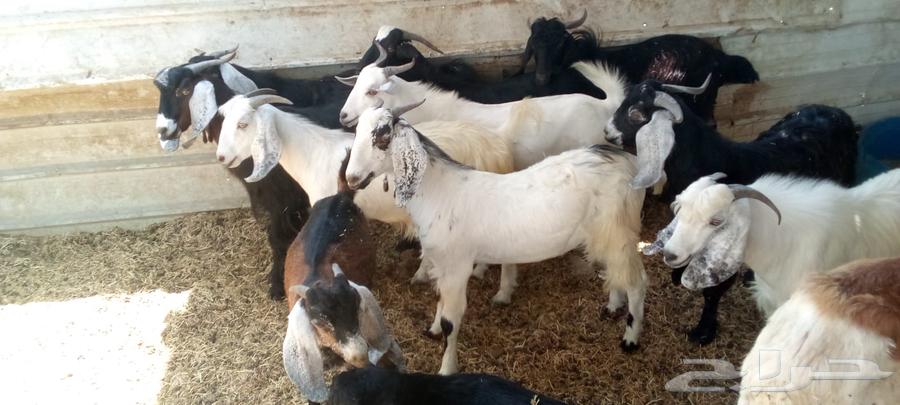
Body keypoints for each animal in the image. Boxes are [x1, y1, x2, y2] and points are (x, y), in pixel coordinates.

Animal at [345, 102, 646, 374]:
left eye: (382, 136)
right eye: (357, 132)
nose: (351, 178)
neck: (440, 192)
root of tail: (625, 161)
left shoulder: (457, 266)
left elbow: (451, 322)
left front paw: (447, 368)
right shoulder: (442, 265)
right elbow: (440, 302)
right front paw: (432, 329)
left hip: (620, 230)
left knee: (636, 282)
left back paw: (630, 339)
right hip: (604, 234)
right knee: (615, 271)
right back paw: (612, 306)